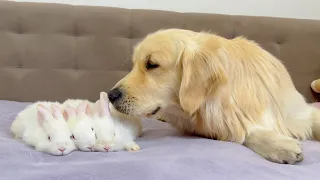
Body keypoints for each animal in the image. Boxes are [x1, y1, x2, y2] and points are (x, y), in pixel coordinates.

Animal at [107, 28, 320, 165]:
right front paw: (280, 146)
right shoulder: (212, 128)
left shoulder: (298, 112)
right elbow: (245, 131)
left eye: (152, 64)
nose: (111, 95)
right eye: (133, 65)